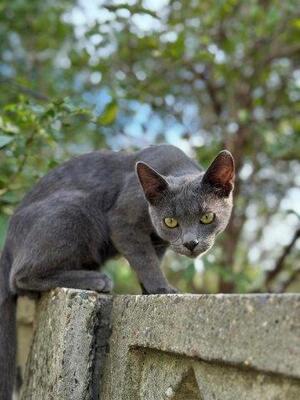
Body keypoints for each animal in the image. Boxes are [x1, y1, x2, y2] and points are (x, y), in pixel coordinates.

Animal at [0, 145, 234, 400]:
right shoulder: (123, 223)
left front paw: (149, 291)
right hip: (76, 209)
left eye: (207, 217)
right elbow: (145, 260)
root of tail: (7, 244)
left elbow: (152, 260)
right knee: (20, 276)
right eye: (171, 222)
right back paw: (97, 279)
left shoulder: (158, 240)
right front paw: (163, 289)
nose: (190, 243)